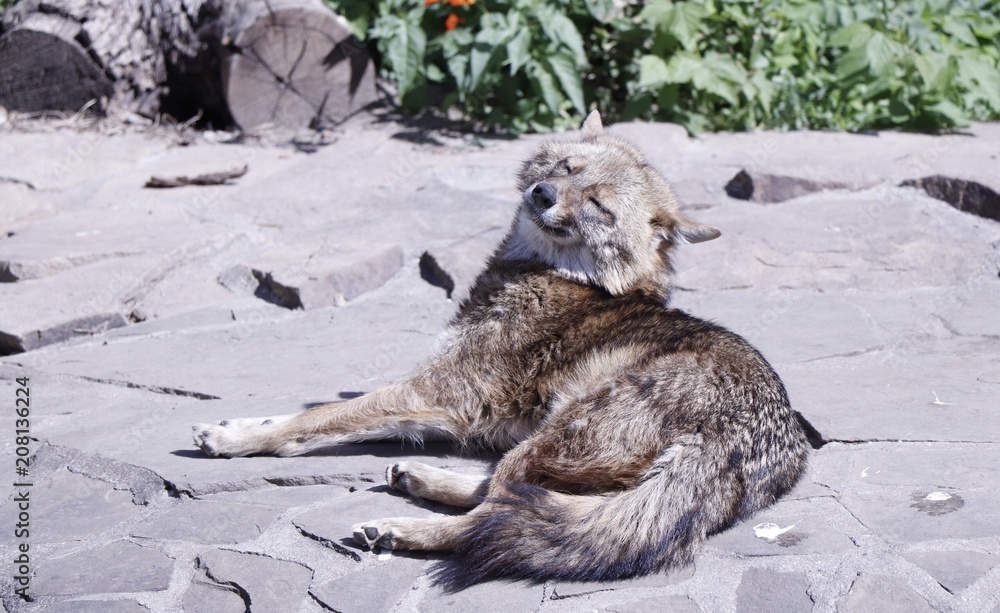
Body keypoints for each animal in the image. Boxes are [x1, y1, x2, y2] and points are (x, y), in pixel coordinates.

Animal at [192, 111, 809, 587]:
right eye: (566, 169)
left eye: (598, 206)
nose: (543, 195)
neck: (565, 276)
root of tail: (743, 437)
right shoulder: (458, 408)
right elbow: (329, 414)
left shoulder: (436, 391)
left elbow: (314, 419)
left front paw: (235, 436)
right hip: (545, 441)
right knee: (509, 495)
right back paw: (418, 479)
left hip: (559, 429)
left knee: (494, 515)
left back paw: (402, 528)